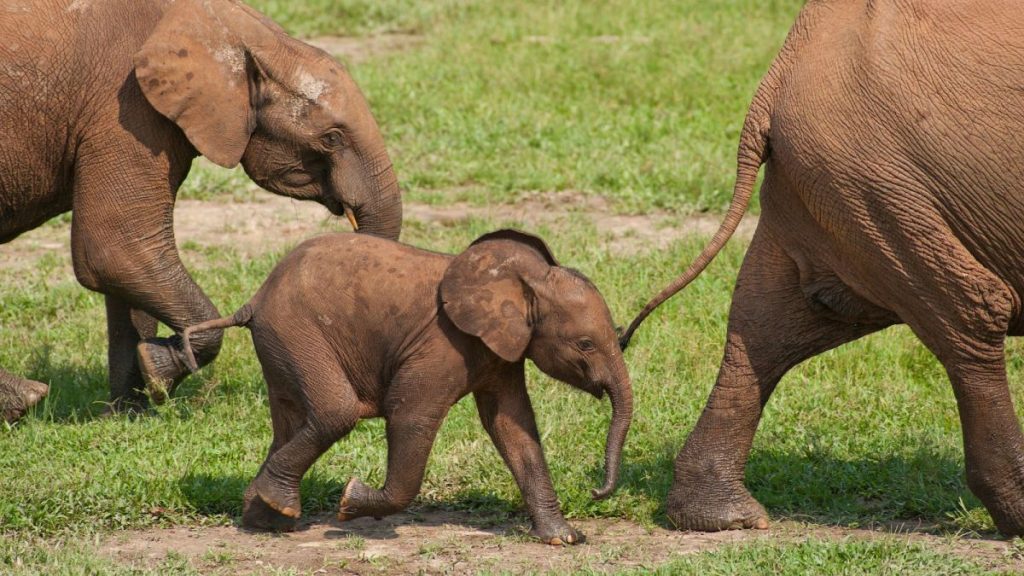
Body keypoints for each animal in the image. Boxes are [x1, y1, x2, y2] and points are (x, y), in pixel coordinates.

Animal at [1, 0, 403, 422]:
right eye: (332, 138)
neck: (231, 30)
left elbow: (124, 271)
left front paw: (132, 410)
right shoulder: (124, 111)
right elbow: (116, 251)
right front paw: (161, 372)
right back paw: (26, 401)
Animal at [183, 228, 630, 541]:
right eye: (586, 344)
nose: (595, 491)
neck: (524, 280)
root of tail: (253, 301)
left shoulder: (501, 350)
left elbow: (512, 426)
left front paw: (564, 538)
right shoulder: (444, 344)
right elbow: (410, 414)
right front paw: (350, 500)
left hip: (281, 343)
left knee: (289, 422)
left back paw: (266, 520)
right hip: (296, 331)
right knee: (335, 412)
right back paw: (279, 510)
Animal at [618, 0, 1024, 537]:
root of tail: (781, 68)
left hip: (832, 182)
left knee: (770, 323)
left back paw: (723, 518)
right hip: (876, 179)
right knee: (970, 312)